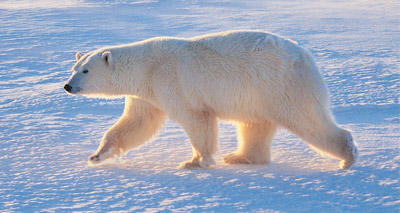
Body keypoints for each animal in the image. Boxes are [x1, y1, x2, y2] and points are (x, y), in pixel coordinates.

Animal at [64, 30, 358, 170]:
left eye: (85, 70)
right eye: (74, 67)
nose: (67, 86)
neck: (145, 67)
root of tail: (305, 56)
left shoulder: (171, 81)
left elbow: (196, 119)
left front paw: (194, 162)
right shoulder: (146, 95)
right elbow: (137, 123)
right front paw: (97, 155)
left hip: (280, 85)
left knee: (307, 119)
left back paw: (347, 156)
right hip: (257, 95)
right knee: (254, 126)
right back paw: (240, 157)